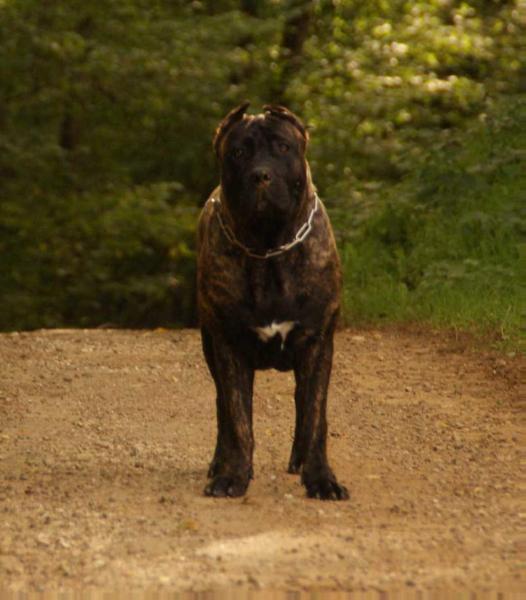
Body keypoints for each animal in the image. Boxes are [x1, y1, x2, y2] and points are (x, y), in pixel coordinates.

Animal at [196, 103, 348, 502]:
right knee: (223, 407)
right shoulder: (229, 346)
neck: (268, 248)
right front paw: (233, 474)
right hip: (210, 345)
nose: (261, 175)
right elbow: (238, 419)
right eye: (238, 153)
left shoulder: (317, 344)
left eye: (282, 147)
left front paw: (321, 478)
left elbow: (315, 417)